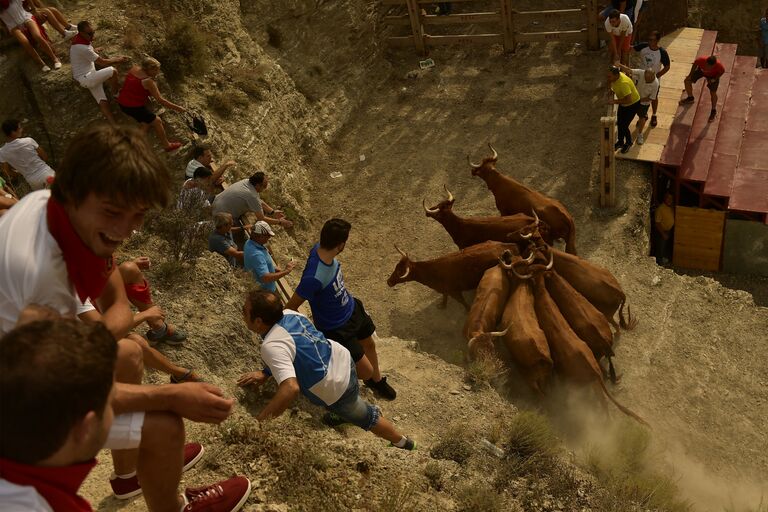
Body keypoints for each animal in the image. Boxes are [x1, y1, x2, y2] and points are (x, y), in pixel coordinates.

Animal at [388, 240, 520, 308]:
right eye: (396, 267)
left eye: (400, 272)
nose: (388, 282)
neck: (431, 271)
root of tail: (509, 245)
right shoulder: (445, 290)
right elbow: (444, 296)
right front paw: (442, 306)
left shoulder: (455, 292)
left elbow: (462, 302)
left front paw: (467, 310)